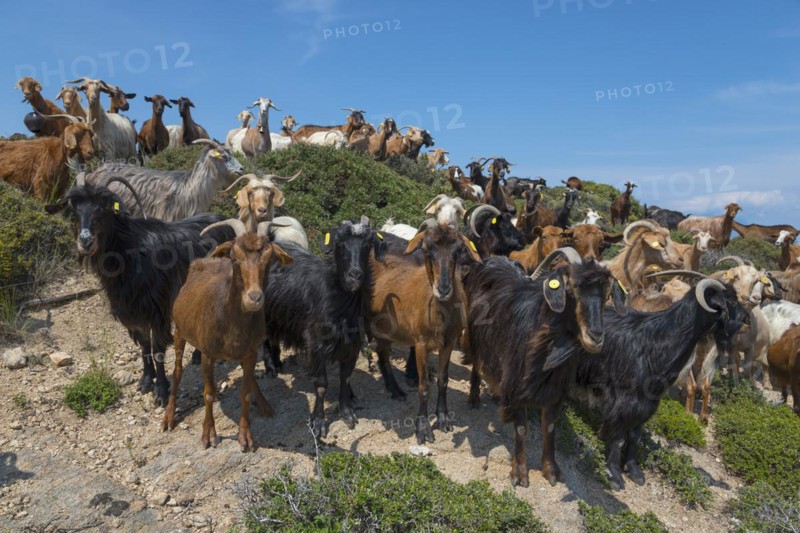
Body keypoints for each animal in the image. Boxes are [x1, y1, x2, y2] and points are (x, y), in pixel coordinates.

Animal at [45, 175, 232, 406]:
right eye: (74, 211)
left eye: (104, 208)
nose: (85, 241)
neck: (131, 252)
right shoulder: (131, 313)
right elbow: (144, 347)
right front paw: (146, 381)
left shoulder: (158, 310)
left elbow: (157, 349)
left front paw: (161, 391)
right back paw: (198, 355)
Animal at [164, 219, 292, 450]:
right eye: (234, 257)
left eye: (269, 258)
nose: (254, 298)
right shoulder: (207, 354)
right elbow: (208, 394)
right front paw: (208, 435)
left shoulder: (250, 352)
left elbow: (245, 393)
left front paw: (246, 436)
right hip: (179, 330)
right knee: (177, 371)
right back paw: (168, 416)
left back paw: (264, 404)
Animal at [262, 217, 387, 438]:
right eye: (339, 243)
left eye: (367, 245)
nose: (355, 275)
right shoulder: (316, 343)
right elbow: (321, 384)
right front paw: (318, 422)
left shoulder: (352, 343)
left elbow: (345, 377)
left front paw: (346, 411)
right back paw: (270, 368)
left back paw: (277, 363)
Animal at [369, 220, 482, 443]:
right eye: (428, 250)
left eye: (458, 251)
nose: (444, 289)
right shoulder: (421, 344)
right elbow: (424, 387)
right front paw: (423, 429)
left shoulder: (448, 343)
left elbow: (443, 380)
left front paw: (443, 419)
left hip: (385, 328)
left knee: (382, 353)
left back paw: (394, 389)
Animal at [467, 248, 626, 486]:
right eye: (572, 289)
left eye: (607, 296)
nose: (596, 336)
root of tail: (494, 259)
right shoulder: (517, 382)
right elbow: (521, 427)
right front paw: (519, 473)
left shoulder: (554, 391)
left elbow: (549, 427)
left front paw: (551, 471)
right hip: (475, 335)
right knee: (477, 364)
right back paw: (474, 398)